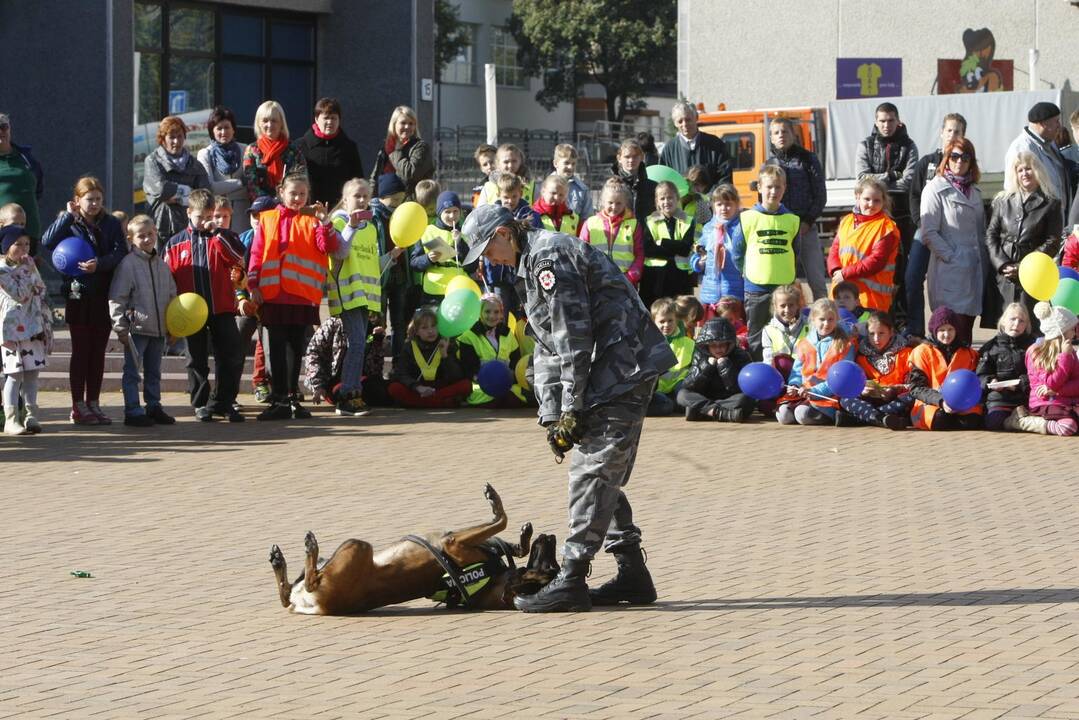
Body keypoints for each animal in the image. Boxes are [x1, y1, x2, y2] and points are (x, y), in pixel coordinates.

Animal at [268, 483, 561, 613]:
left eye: (551, 568)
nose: (552, 538)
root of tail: (315, 606)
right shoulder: (465, 542)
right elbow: (508, 541)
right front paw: (522, 538)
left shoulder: (452, 543)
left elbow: (502, 520)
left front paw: (497, 505)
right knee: (287, 592)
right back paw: (279, 561)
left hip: (356, 547)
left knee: (308, 580)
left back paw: (309, 548)